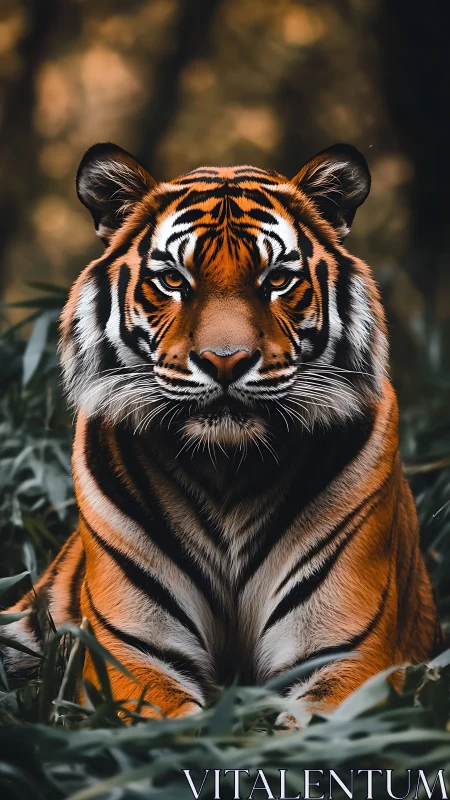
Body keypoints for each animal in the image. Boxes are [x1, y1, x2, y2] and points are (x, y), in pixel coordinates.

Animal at [4, 141, 440, 726]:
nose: (225, 361)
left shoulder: (345, 656)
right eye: (173, 280)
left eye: (277, 279)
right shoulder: (134, 655)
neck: (228, 470)